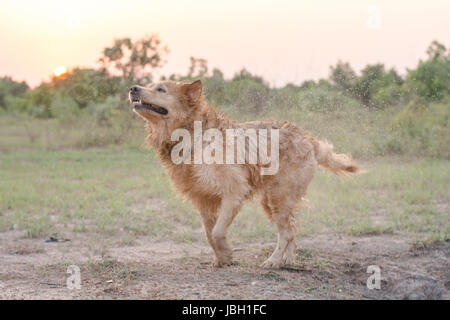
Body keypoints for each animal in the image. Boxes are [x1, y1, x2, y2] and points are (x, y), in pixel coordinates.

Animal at [129, 80, 358, 268]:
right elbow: (209, 234)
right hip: (272, 201)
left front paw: (227, 253)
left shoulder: (234, 191)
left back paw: (274, 261)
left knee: (287, 231)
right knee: (292, 228)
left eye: (161, 89)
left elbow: (217, 231)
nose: (133, 88)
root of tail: (309, 139)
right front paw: (221, 258)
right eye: (149, 84)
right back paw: (288, 259)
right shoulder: (202, 199)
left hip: (279, 197)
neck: (194, 136)